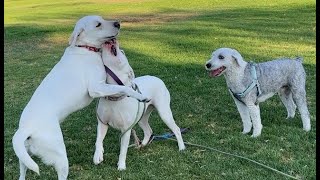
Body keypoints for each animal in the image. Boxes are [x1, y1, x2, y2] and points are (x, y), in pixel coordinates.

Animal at [11, 15, 149, 180]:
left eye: (102, 19)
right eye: (98, 24)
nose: (118, 23)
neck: (85, 48)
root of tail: (26, 129)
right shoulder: (96, 88)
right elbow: (122, 87)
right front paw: (139, 95)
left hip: (24, 159)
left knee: (22, 173)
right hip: (60, 158)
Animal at [94, 38, 186, 170]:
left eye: (122, 52)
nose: (113, 39)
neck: (115, 95)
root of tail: (156, 78)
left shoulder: (126, 130)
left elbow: (123, 150)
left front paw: (121, 166)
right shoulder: (102, 124)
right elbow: (98, 140)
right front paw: (98, 156)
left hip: (164, 113)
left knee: (176, 129)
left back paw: (181, 147)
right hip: (142, 118)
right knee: (148, 131)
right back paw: (142, 145)